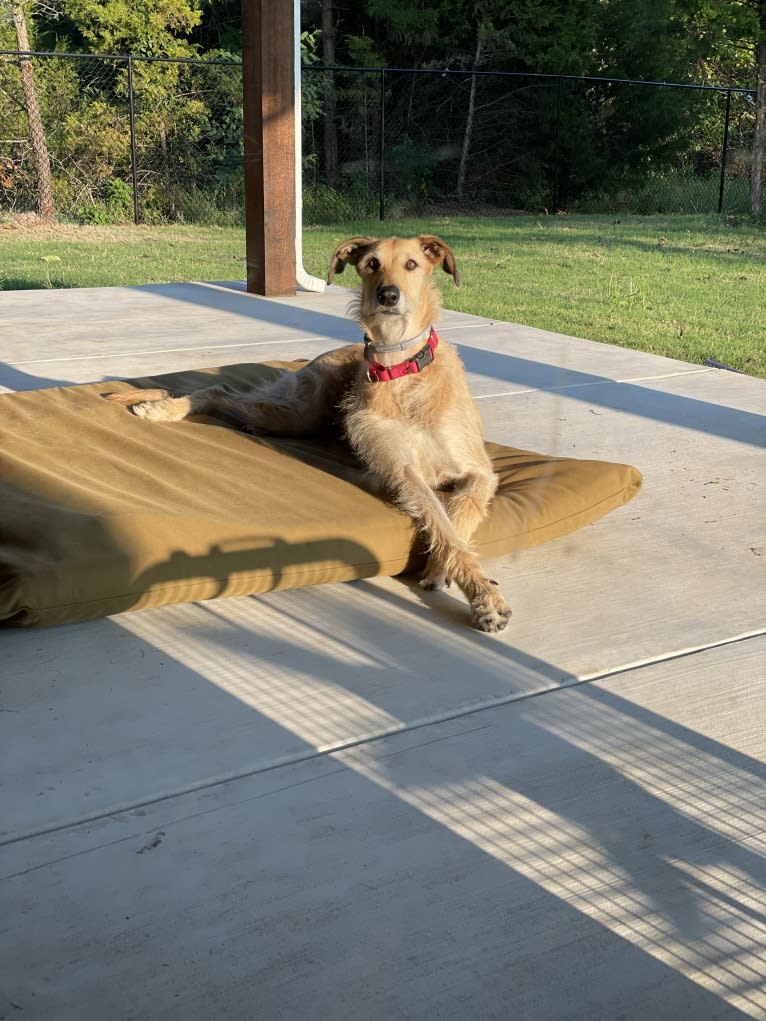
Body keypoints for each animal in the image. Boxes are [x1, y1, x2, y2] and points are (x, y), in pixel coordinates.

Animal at [108, 235, 512, 628]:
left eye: (412, 264)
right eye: (371, 264)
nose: (388, 296)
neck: (402, 370)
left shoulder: (479, 472)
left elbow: (458, 520)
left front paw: (446, 574)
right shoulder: (402, 471)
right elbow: (442, 525)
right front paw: (483, 596)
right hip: (300, 410)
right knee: (219, 390)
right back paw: (164, 409)